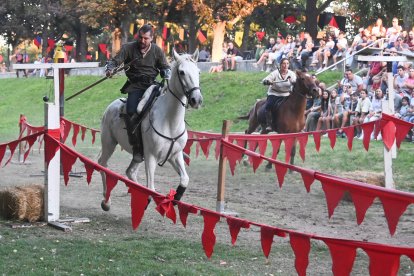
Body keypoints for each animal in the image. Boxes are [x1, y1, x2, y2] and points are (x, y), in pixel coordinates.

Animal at [100, 49, 204, 210]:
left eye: (198, 71)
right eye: (181, 72)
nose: (196, 100)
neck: (170, 122)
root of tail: (110, 107)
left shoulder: (175, 155)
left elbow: (185, 179)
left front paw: (175, 199)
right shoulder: (151, 157)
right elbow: (151, 188)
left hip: (138, 155)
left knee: (130, 172)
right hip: (109, 144)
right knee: (103, 164)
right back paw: (106, 201)